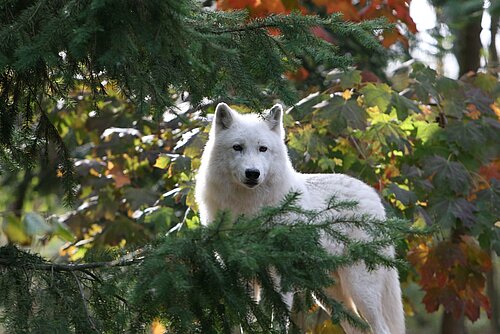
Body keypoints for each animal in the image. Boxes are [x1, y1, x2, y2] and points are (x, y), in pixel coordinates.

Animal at [195, 103, 406, 332]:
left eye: (263, 149)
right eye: (237, 147)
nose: (252, 173)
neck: (248, 209)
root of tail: (372, 195)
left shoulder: (280, 275)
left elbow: (279, 321)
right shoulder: (241, 277)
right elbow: (245, 323)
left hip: (359, 287)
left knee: (380, 328)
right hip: (327, 294)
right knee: (358, 327)